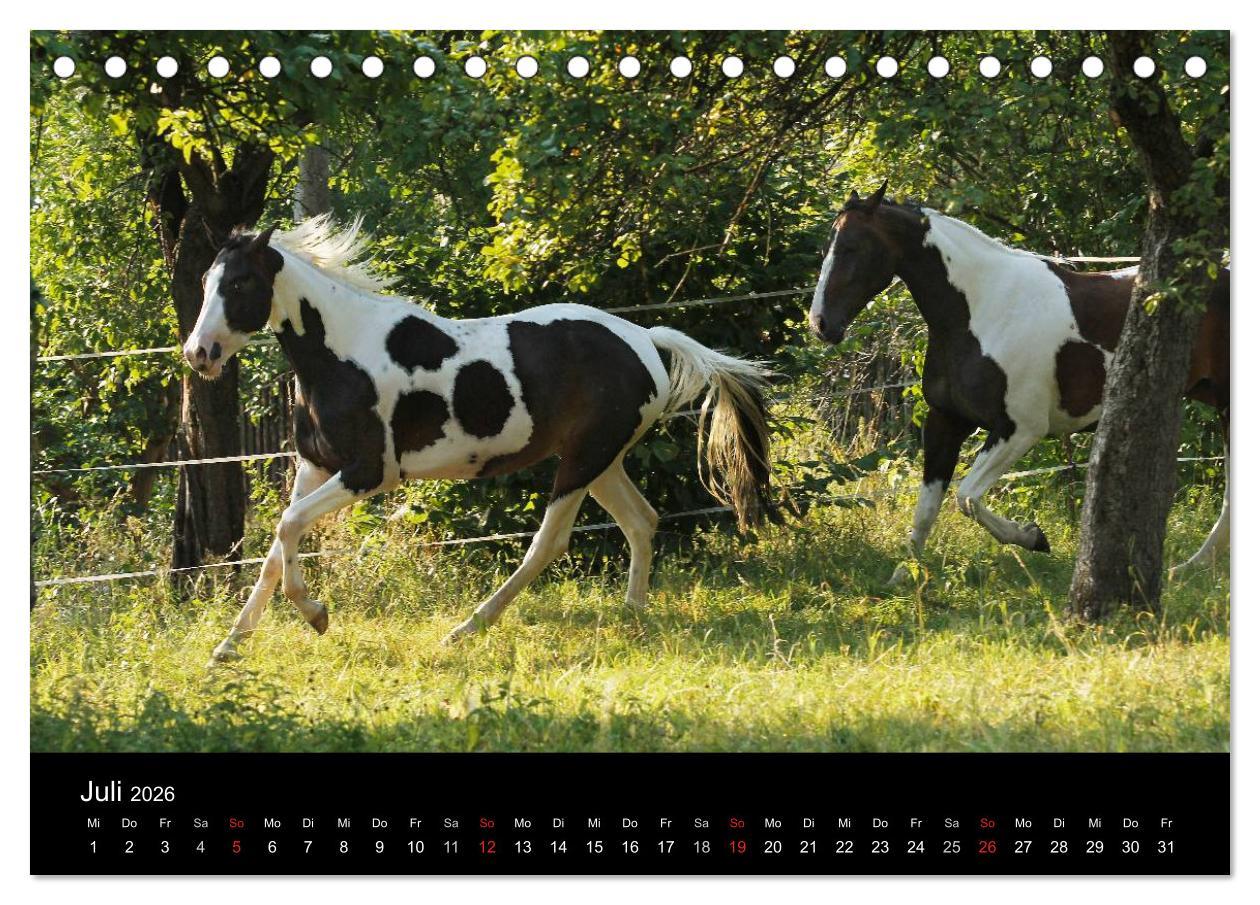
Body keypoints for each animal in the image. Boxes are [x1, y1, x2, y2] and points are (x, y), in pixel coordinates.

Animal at [184, 215, 778, 662]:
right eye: (207, 282)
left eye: (239, 284)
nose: (199, 354)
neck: (343, 353)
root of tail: (645, 338)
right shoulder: (316, 465)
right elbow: (275, 550)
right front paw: (228, 648)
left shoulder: (370, 473)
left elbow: (287, 528)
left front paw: (316, 616)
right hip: (602, 460)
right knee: (641, 521)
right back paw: (633, 617)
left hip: (582, 462)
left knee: (548, 544)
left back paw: (467, 628)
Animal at [808, 182, 1229, 585]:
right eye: (827, 246)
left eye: (851, 248)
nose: (821, 324)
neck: (984, 310)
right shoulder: (946, 421)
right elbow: (927, 507)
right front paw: (904, 574)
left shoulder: (1020, 429)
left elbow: (966, 497)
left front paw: (1032, 537)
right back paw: (1192, 568)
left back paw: (1190, 568)